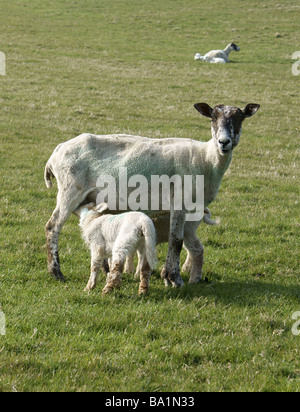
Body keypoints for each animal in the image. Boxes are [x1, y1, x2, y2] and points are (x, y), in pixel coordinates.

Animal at [44, 101, 260, 288]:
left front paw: (170, 276)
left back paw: (103, 269)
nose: (224, 142)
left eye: (240, 118)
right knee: (52, 227)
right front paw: (174, 279)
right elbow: (176, 241)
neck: (206, 159)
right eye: (213, 118)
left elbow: (177, 241)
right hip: (70, 190)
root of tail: (56, 151)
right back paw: (56, 273)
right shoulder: (179, 202)